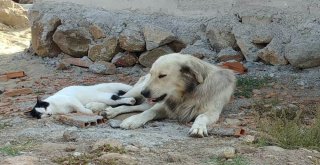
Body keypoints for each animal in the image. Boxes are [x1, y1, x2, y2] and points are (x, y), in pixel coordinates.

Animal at [104, 53, 235, 137]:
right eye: (152, 74)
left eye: (162, 75)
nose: (144, 93)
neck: (187, 94)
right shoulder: (163, 106)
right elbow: (149, 112)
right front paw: (134, 120)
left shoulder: (213, 112)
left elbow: (201, 116)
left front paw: (198, 128)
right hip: (136, 92)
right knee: (124, 99)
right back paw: (109, 110)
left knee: (135, 106)